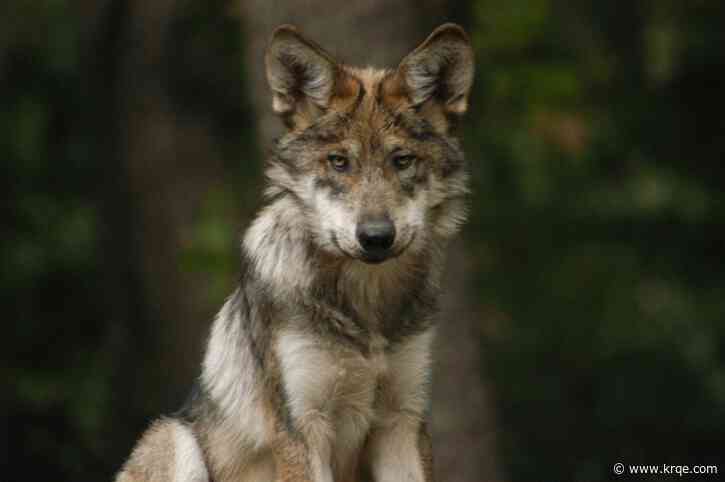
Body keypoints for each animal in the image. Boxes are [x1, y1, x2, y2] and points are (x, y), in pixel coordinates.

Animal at [115, 22, 474, 482]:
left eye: (402, 160)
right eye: (339, 162)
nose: (376, 237)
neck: (365, 305)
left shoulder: (403, 420)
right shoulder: (302, 427)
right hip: (173, 437)